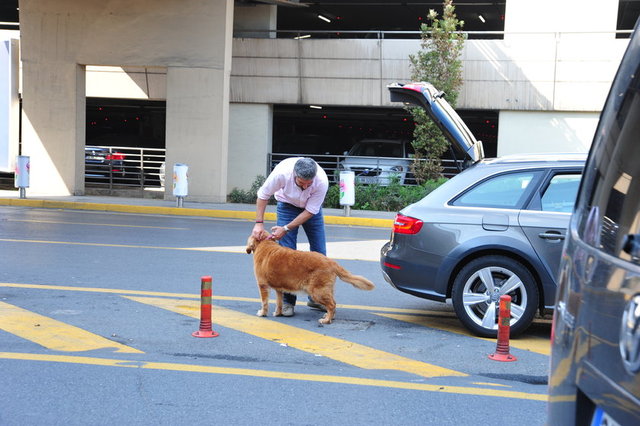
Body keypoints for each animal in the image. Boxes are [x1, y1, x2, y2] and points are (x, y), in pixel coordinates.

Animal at [245, 231, 375, 324]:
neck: (265, 243)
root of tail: (331, 262)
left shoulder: (262, 285)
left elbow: (264, 302)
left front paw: (262, 313)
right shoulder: (279, 289)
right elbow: (279, 303)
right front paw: (278, 313)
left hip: (317, 291)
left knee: (332, 305)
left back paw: (326, 320)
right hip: (327, 289)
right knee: (333, 303)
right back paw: (329, 316)